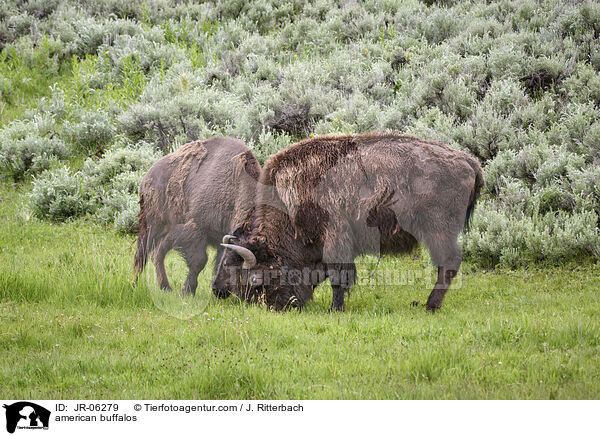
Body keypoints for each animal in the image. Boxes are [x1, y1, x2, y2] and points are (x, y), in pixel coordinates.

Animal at [134, 135, 260, 294]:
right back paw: (135, 284)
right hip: (153, 225)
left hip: (168, 231)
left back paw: (166, 287)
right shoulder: (197, 230)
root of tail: (146, 178)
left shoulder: (221, 238)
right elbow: (199, 261)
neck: (236, 186)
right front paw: (188, 291)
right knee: (142, 254)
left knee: (158, 253)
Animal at [211, 132, 482, 310]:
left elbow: (337, 276)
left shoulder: (335, 239)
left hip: (439, 231)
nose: (279, 306)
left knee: (447, 263)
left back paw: (429, 305)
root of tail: (468, 161)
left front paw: (335, 308)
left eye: (254, 279)